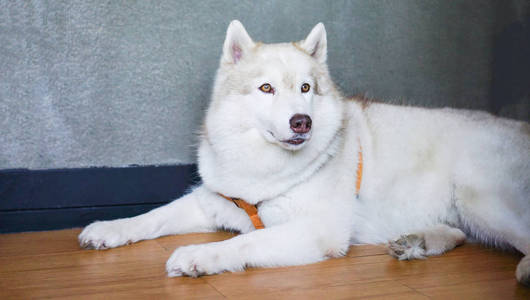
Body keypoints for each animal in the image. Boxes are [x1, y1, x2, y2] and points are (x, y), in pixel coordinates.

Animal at [79, 20, 528, 284]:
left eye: (306, 88)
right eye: (266, 88)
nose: (302, 122)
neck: (264, 167)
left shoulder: (315, 231)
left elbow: (245, 243)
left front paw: (199, 255)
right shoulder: (212, 201)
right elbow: (152, 217)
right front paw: (110, 228)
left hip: (479, 199)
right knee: (457, 234)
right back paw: (416, 241)